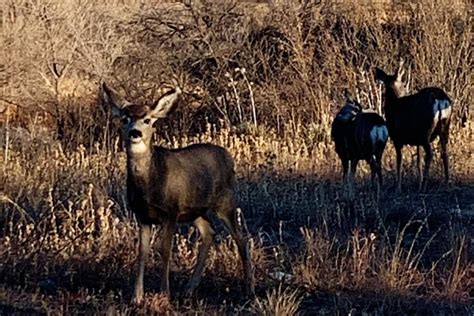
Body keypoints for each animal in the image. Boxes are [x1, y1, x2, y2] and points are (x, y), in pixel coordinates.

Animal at [102, 82, 254, 302]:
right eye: (125, 119)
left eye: (147, 119)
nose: (135, 133)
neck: (151, 183)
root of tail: (227, 155)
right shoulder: (142, 215)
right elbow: (142, 252)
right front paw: (136, 296)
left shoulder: (171, 211)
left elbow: (165, 250)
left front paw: (164, 293)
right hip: (195, 210)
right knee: (209, 232)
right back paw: (190, 287)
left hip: (225, 202)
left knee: (240, 238)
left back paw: (249, 287)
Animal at [374, 60, 452, 191]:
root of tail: (441, 100)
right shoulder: (417, 141)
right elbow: (418, 162)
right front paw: (418, 182)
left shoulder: (397, 138)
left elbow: (399, 162)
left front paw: (398, 187)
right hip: (444, 127)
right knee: (444, 152)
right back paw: (446, 182)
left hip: (426, 131)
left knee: (430, 153)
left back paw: (424, 186)